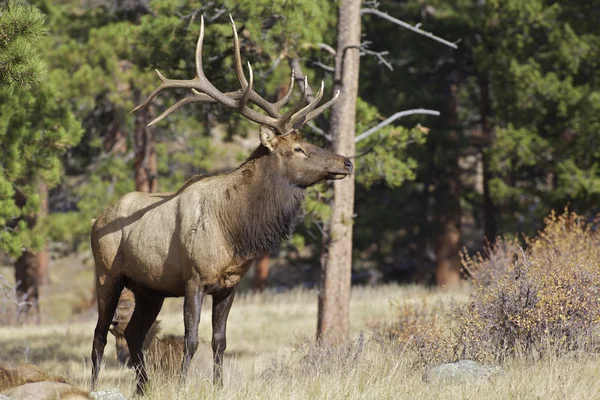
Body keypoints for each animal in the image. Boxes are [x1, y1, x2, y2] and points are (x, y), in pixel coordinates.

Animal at [89, 14, 352, 394]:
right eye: (298, 148)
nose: (346, 162)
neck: (237, 232)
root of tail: (95, 221)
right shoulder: (194, 279)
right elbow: (191, 339)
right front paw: (183, 385)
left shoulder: (230, 284)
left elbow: (219, 341)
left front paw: (218, 386)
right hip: (107, 273)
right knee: (99, 334)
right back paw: (95, 385)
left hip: (149, 289)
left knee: (135, 333)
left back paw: (144, 387)